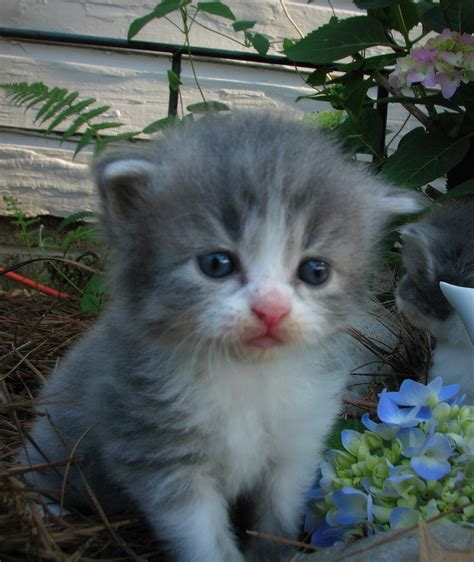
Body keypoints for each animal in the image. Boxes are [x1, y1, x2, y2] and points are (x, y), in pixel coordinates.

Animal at [21, 111, 422, 556]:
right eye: (216, 264)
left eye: (315, 271)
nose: (271, 310)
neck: (247, 373)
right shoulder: (162, 458)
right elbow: (206, 541)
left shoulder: (295, 449)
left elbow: (277, 521)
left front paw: (275, 554)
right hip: (56, 439)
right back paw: (43, 509)